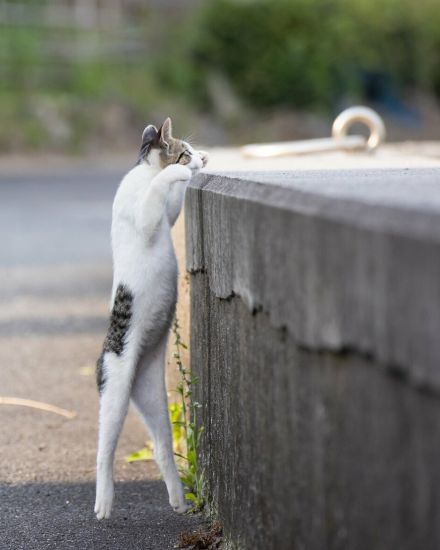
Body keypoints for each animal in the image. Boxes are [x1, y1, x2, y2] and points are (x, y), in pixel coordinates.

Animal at [94, 117, 208, 520]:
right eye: (183, 151)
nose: (200, 157)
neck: (143, 170)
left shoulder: (165, 213)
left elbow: (169, 203)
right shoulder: (142, 213)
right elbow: (162, 186)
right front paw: (184, 170)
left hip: (152, 396)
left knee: (161, 447)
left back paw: (178, 500)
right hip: (115, 393)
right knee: (104, 450)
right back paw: (104, 503)